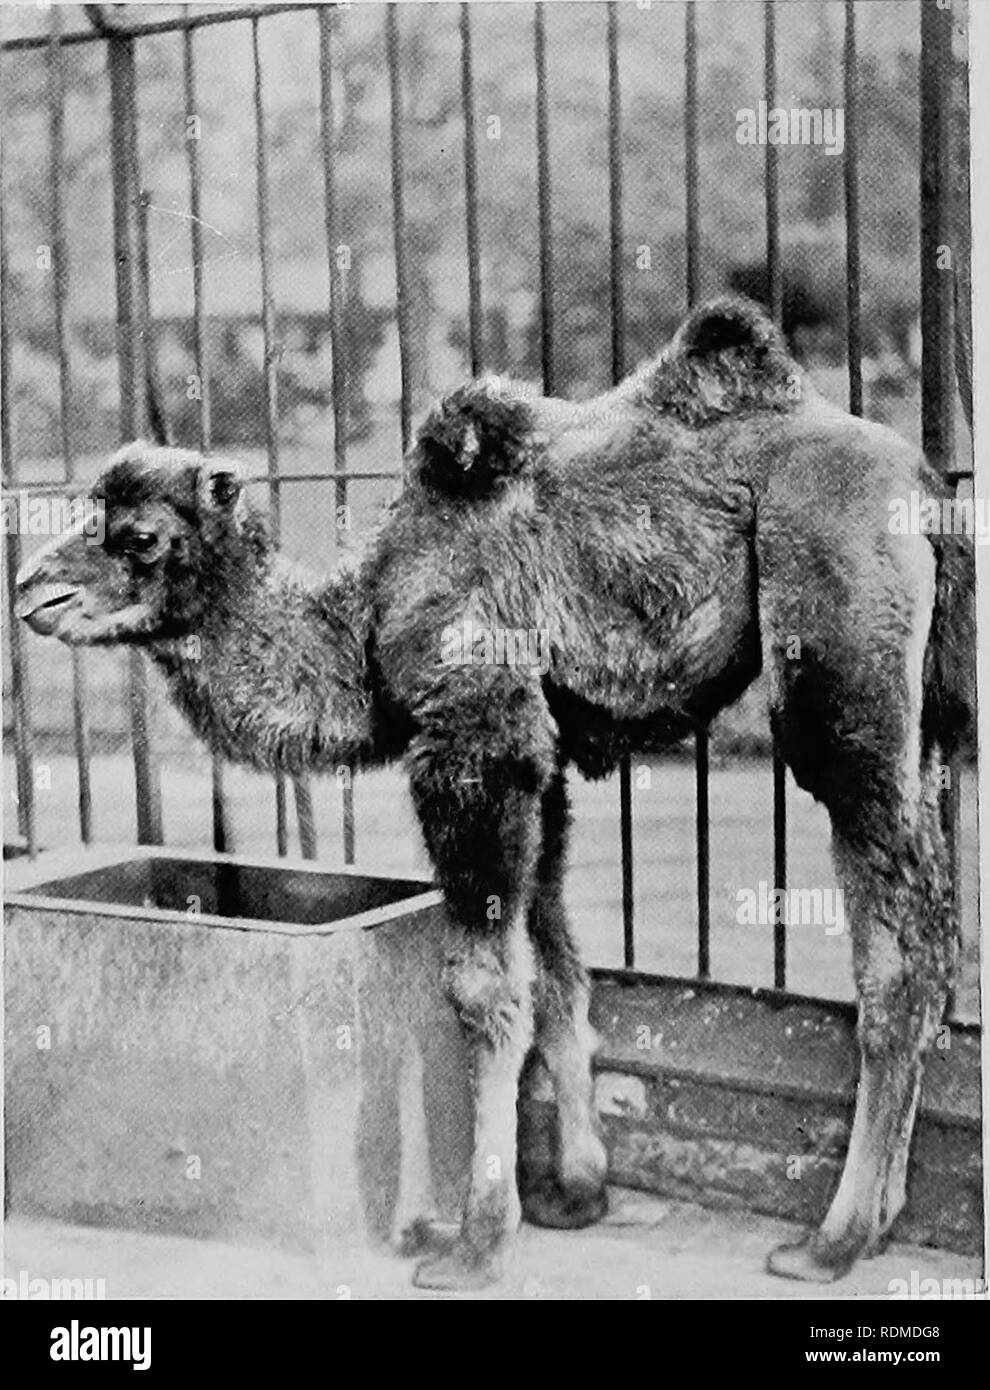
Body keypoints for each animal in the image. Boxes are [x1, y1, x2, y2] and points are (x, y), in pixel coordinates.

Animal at [16, 296, 974, 1291]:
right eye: (90, 508)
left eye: (138, 536)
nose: (32, 589)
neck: (362, 626)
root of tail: (922, 479)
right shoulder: (535, 758)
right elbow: (555, 970)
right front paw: (576, 1192)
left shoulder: (475, 730)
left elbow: (483, 989)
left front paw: (477, 1239)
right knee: (934, 917)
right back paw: (878, 1219)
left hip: (836, 640)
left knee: (895, 941)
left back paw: (834, 1239)